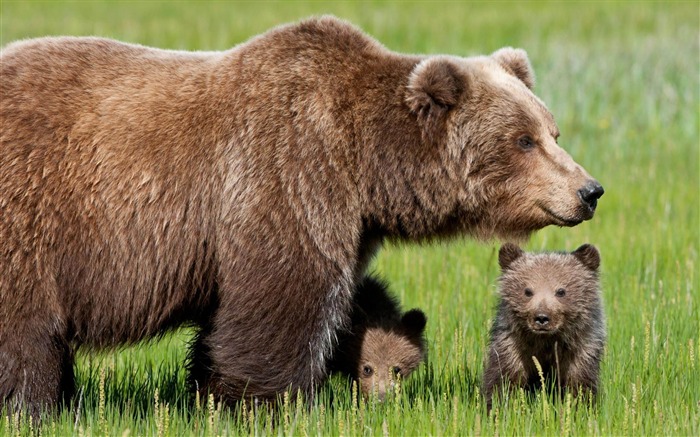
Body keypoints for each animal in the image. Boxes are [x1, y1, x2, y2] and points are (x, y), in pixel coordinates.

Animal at [484, 242, 604, 408]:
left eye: (561, 291)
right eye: (528, 291)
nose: (541, 318)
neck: (546, 341)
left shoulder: (581, 348)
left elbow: (579, 383)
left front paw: (579, 405)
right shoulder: (513, 346)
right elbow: (503, 379)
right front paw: (498, 405)